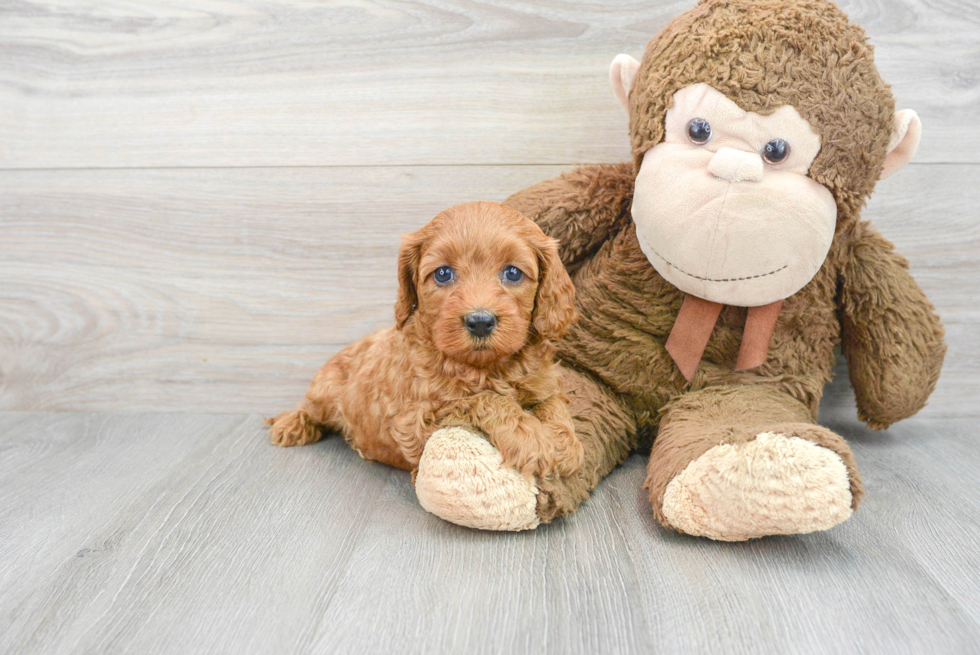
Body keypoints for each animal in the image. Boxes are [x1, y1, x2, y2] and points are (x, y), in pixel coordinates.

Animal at [266, 200, 580, 476]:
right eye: (443, 273)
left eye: (513, 272)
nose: (480, 322)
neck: (485, 368)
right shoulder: (415, 423)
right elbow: (480, 399)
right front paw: (530, 438)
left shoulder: (543, 382)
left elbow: (553, 403)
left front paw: (565, 444)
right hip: (324, 390)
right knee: (308, 407)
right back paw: (290, 425)